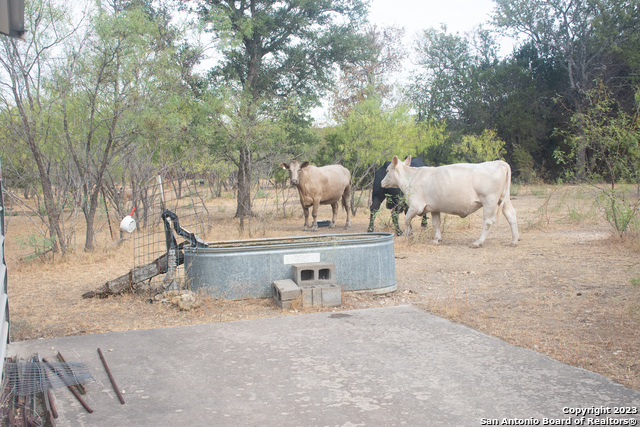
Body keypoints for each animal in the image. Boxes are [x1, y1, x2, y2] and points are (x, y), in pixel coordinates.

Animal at [382, 156, 516, 249]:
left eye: (387, 170)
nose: (381, 182)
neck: (412, 177)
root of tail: (496, 162)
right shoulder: (434, 208)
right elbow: (436, 223)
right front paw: (437, 239)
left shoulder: (416, 206)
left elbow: (406, 220)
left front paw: (408, 235)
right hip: (504, 199)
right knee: (511, 215)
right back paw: (514, 240)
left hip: (489, 201)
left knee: (488, 222)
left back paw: (477, 242)